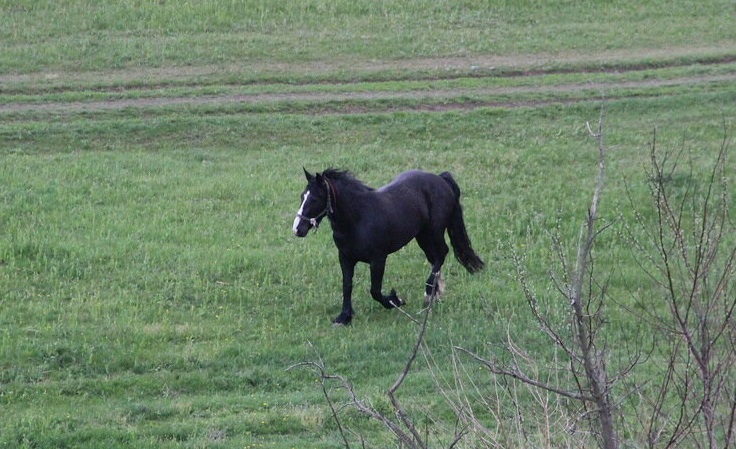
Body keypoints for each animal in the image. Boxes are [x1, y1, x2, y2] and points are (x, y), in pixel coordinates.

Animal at [293, 168, 484, 325]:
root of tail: (440, 178)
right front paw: (344, 317)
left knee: (441, 254)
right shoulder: (345, 258)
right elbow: (347, 286)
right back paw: (435, 294)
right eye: (302, 196)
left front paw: (395, 300)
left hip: (434, 231)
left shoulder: (378, 259)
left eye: (315, 198)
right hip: (422, 235)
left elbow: (375, 291)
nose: (297, 229)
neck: (359, 218)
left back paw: (429, 292)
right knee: (435, 257)